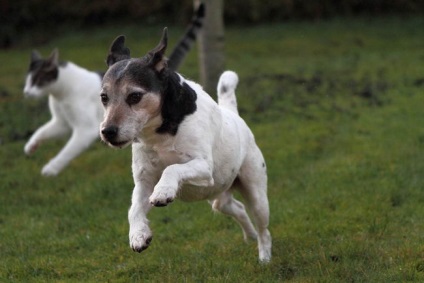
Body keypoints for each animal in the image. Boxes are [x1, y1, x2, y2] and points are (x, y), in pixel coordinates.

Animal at [99, 28, 272, 264]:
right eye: (103, 97)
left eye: (135, 96)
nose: (107, 131)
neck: (159, 134)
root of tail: (234, 115)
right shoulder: (144, 181)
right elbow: (134, 209)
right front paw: (138, 235)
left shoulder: (203, 167)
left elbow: (172, 168)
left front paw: (163, 191)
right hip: (218, 194)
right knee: (237, 208)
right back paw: (250, 235)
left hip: (254, 190)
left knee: (263, 227)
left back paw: (264, 256)